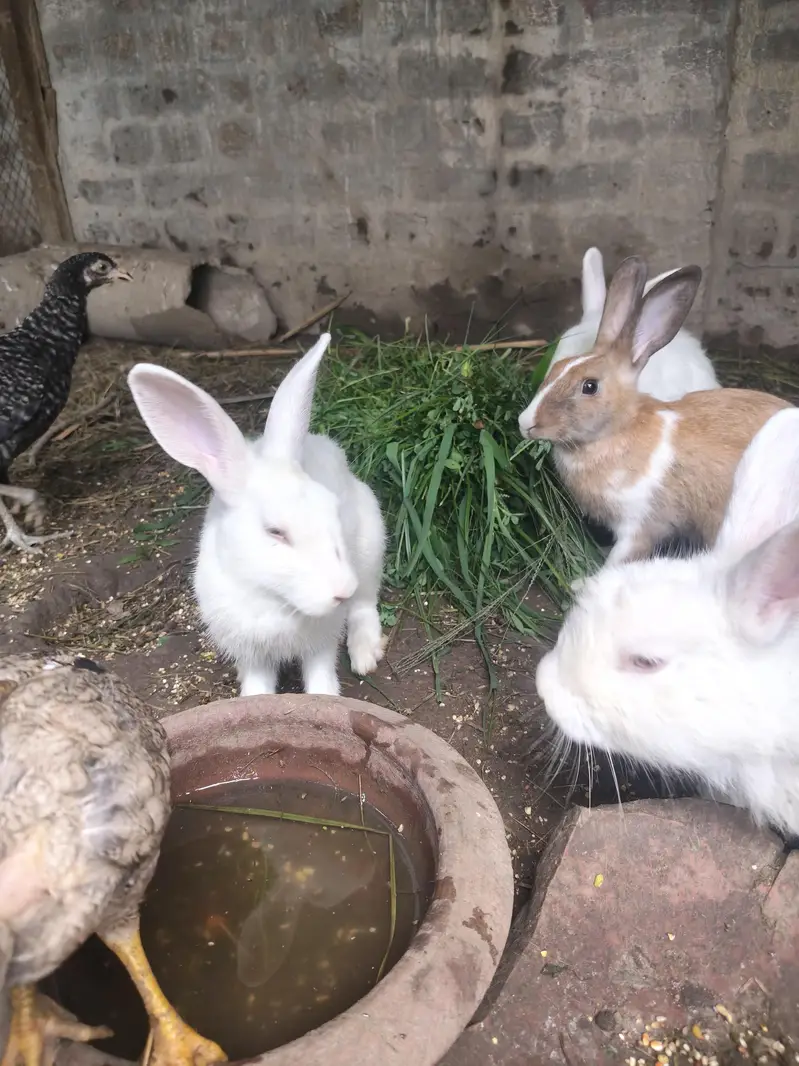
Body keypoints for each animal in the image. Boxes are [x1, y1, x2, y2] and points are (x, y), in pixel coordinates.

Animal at [127, 334, 386, 698]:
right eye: (275, 532)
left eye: (331, 508)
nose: (341, 591)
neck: (273, 599)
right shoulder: (250, 654)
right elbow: (257, 689)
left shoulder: (320, 644)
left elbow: (322, 681)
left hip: (370, 547)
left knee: (366, 602)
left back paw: (366, 654)